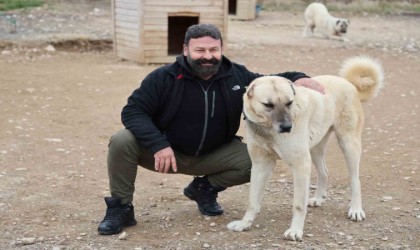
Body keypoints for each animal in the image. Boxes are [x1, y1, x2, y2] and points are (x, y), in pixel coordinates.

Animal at [228, 56, 386, 240]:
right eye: (268, 105)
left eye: (289, 103)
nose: (287, 127)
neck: (268, 130)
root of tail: (348, 83)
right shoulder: (260, 165)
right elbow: (252, 200)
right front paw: (244, 224)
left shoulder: (300, 165)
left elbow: (298, 204)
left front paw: (295, 231)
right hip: (315, 148)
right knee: (324, 172)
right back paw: (318, 198)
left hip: (349, 144)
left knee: (355, 180)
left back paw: (355, 210)